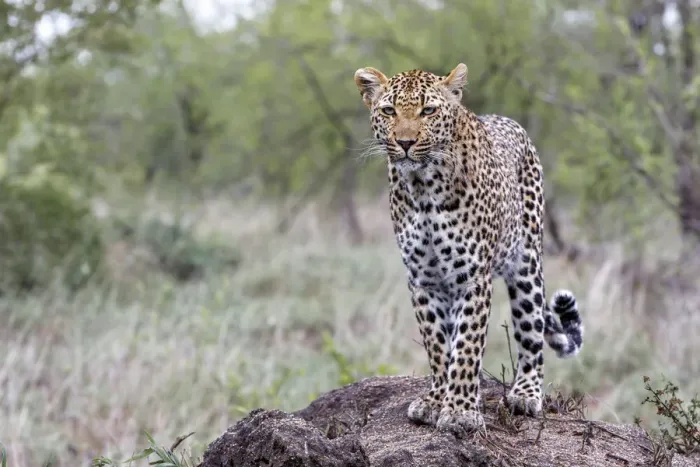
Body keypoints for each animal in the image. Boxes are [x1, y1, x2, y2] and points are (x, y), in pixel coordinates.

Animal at [353, 63, 584, 433]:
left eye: (428, 111)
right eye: (388, 111)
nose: (405, 142)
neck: (423, 187)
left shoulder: (472, 276)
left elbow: (467, 346)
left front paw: (460, 411)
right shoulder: (424, 279)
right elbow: (437, 346)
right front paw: (436, 401)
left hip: (527, 263)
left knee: (531, 332)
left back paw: (526, 394)